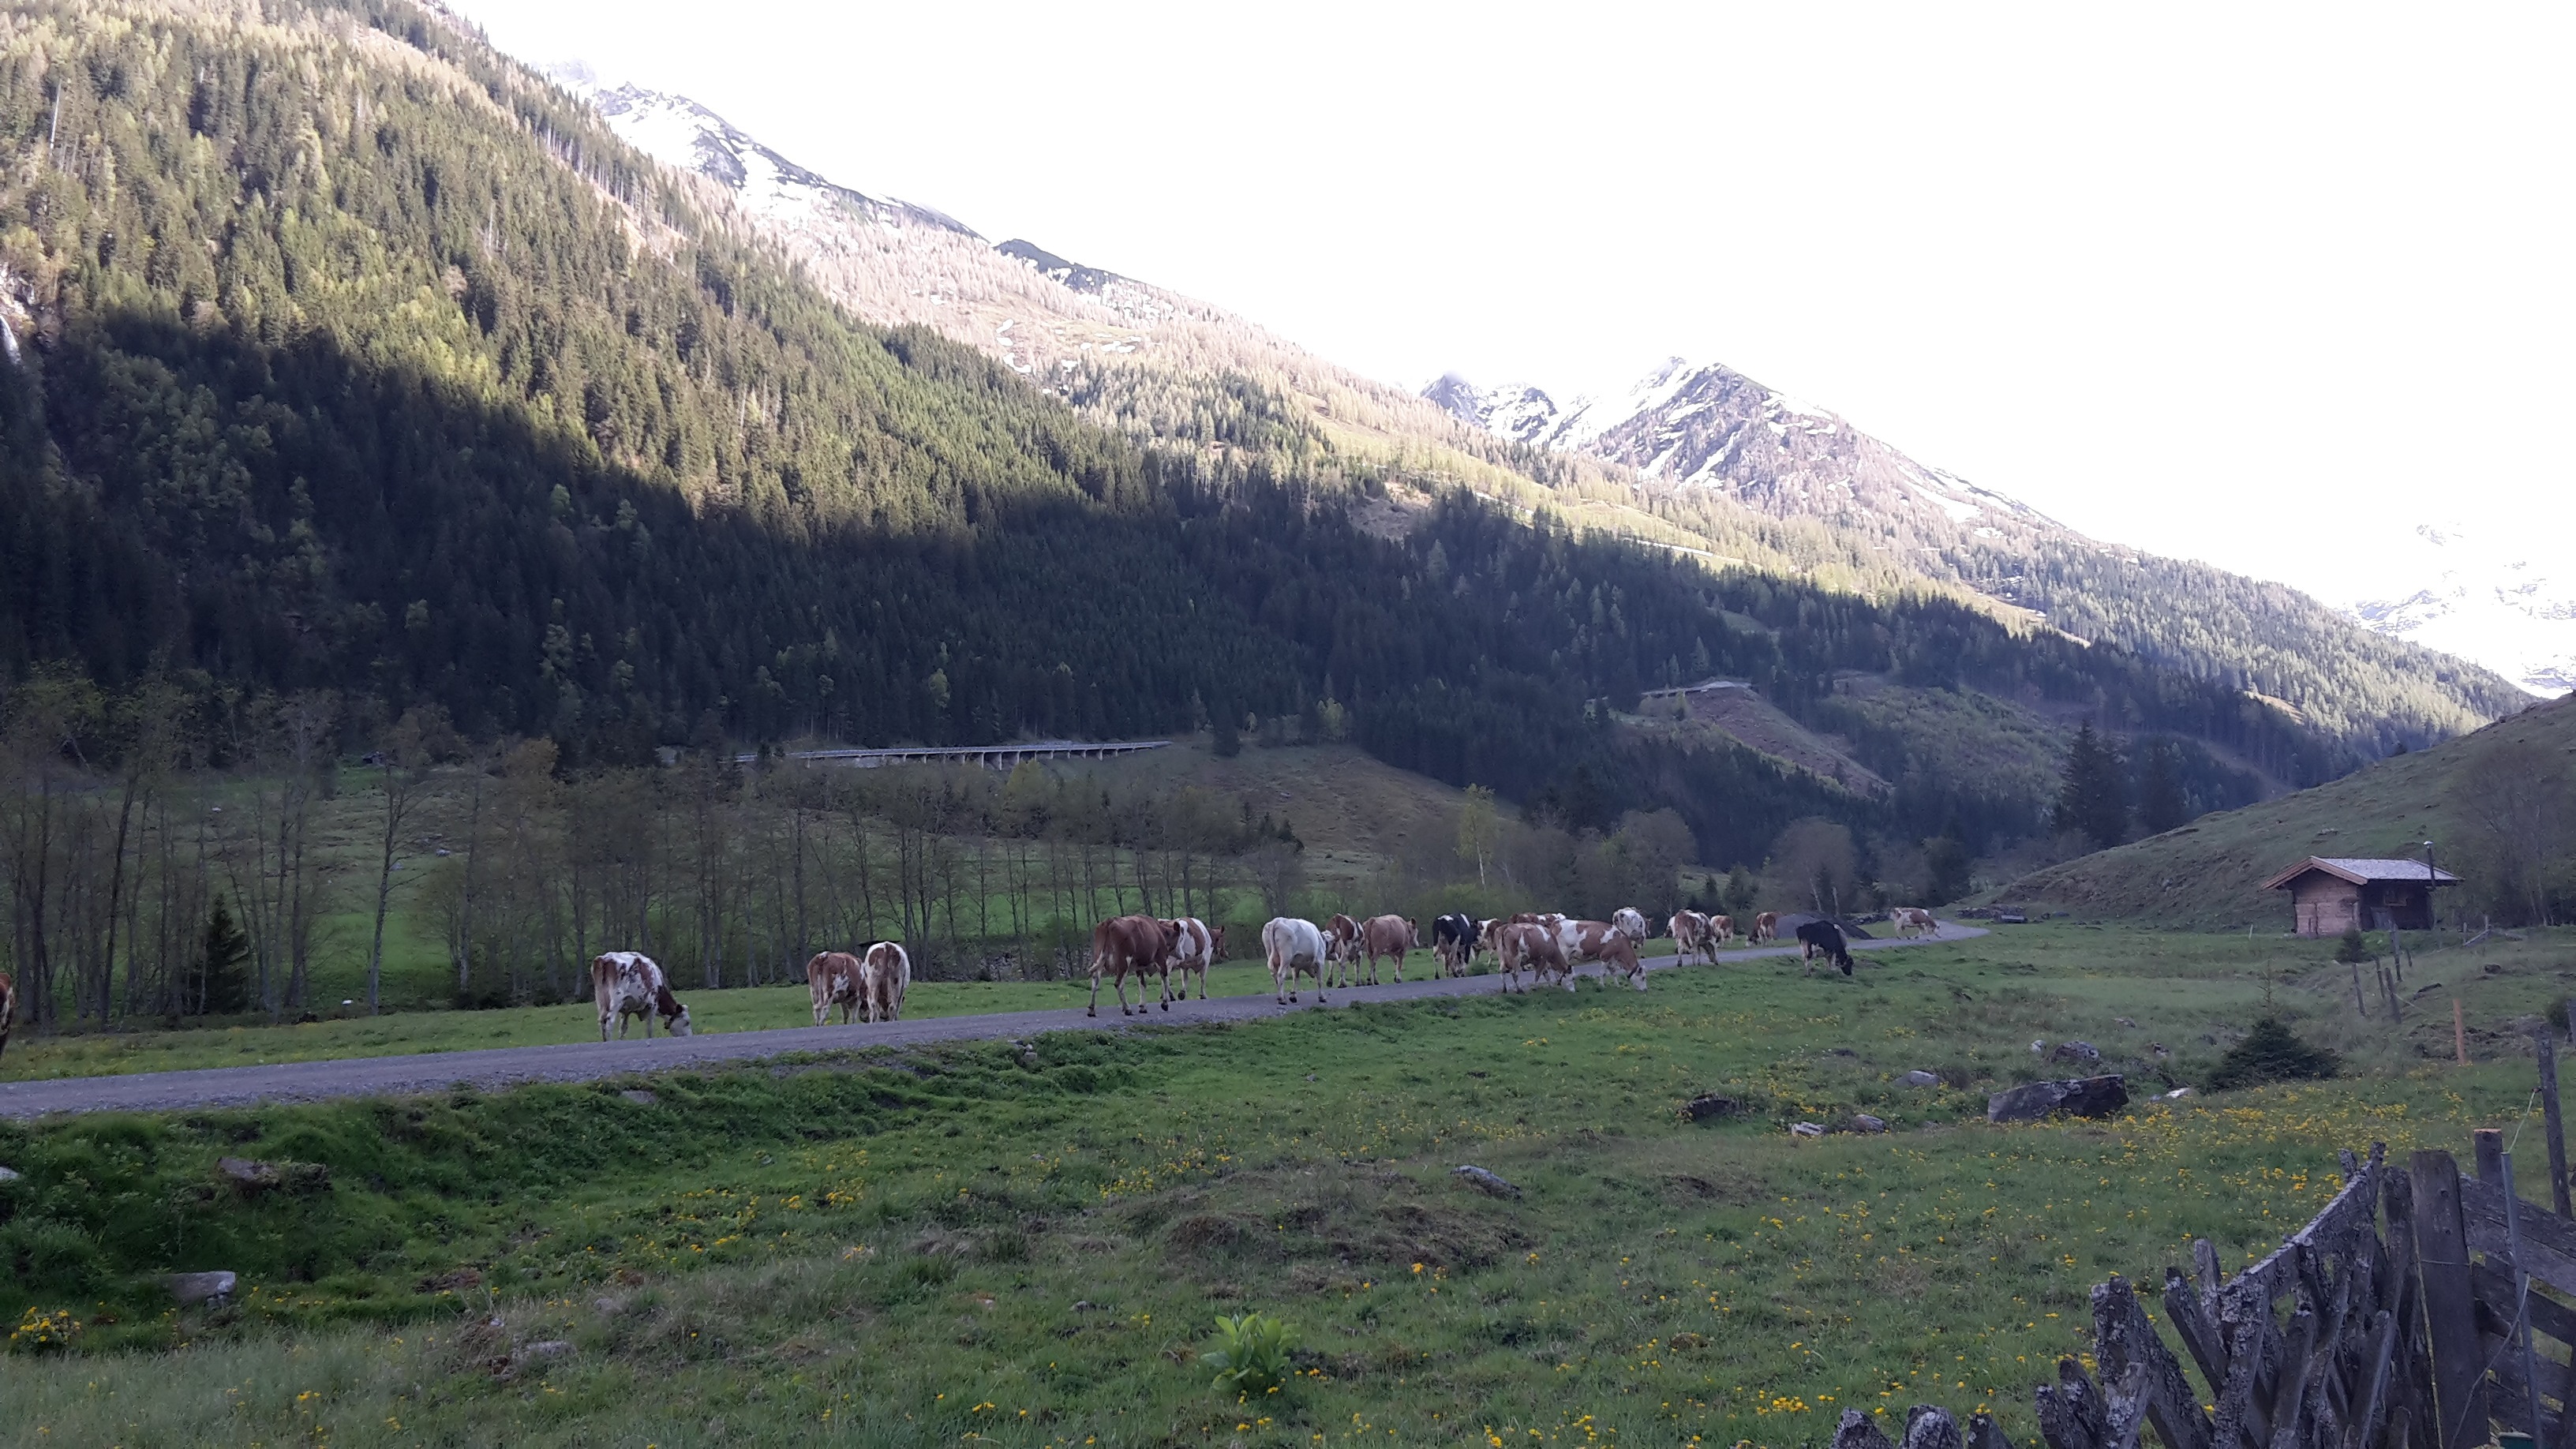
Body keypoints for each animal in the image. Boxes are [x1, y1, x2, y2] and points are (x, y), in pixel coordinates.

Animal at [1081, 912, 1174, 1016]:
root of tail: (1109, 921)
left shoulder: (1138, 967)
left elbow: (1142, 984)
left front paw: (1142, 1007)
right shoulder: (1161, 958)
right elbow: (1165, 980)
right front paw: (1165, 1003)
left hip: (1099, 958)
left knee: (1095, 982)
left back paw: (1091, 1010)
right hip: (1123, 961)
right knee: (1118, 984)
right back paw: (1127, 1009)